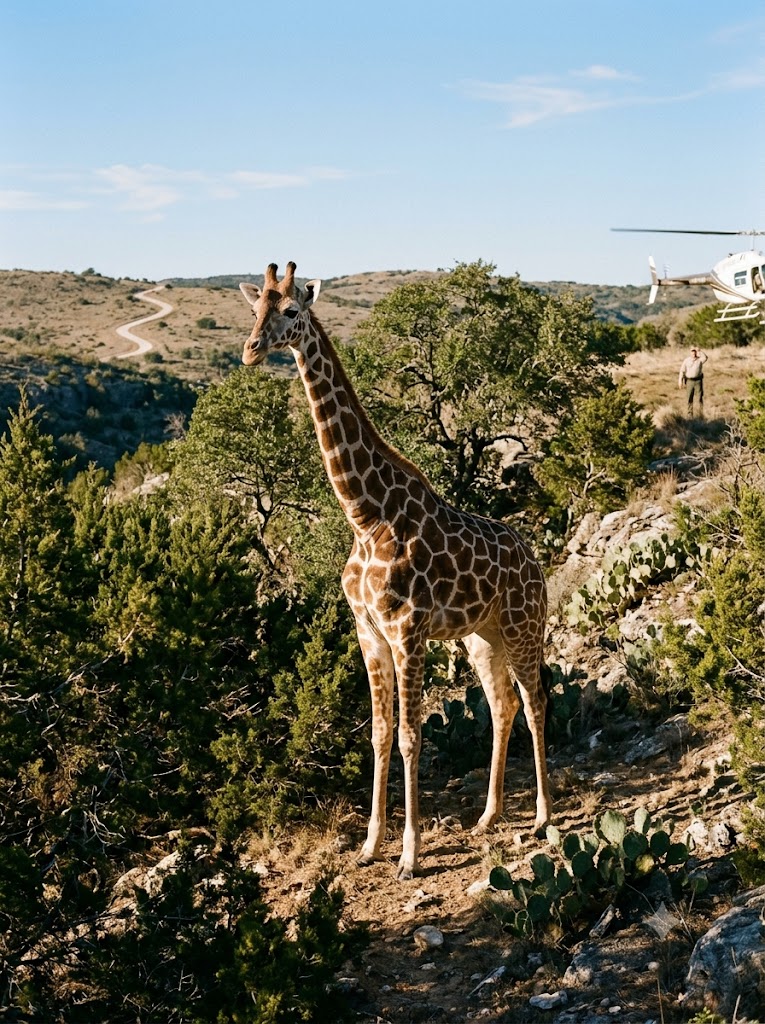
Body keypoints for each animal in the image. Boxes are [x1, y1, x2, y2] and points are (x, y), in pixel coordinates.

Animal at [239, 262, 551, 881]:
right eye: (255, 308)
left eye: (292, 311)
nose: (250, 350)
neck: (365, 515)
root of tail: (537, 563)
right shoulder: (368, 631)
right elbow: (380, 734)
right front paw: (369, 845)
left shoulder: (408, 631)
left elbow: (410, 736)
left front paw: (409, 855)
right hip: (483, 637)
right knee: (502, 705)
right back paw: (489, 816)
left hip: (525, 627)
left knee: (535, 704)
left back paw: (543, 817)